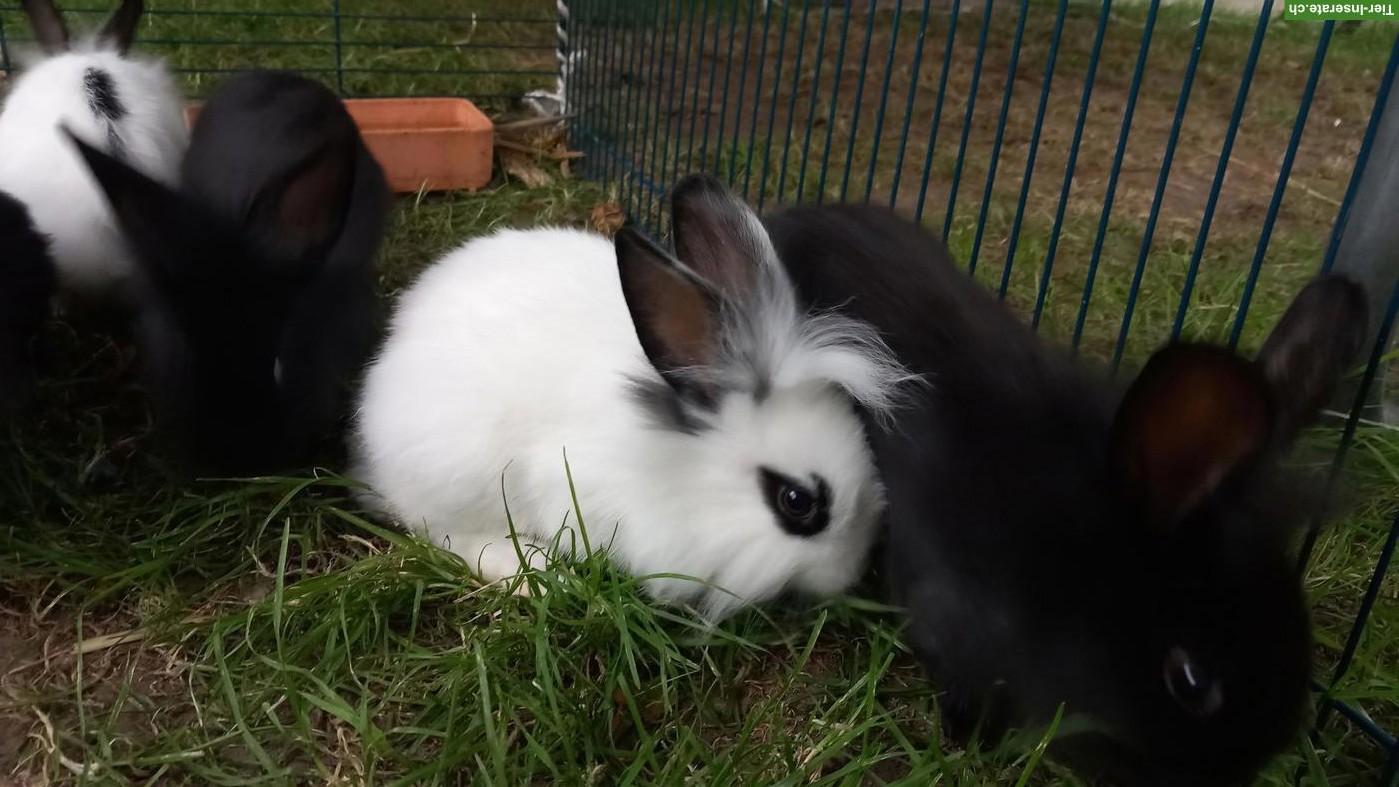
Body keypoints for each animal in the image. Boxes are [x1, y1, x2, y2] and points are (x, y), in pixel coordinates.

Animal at [351, 175, 914, 621]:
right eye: (797, 502)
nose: (849, 572)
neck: (677, 461)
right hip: (458, 474)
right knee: (451, 535)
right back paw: (536, 573)